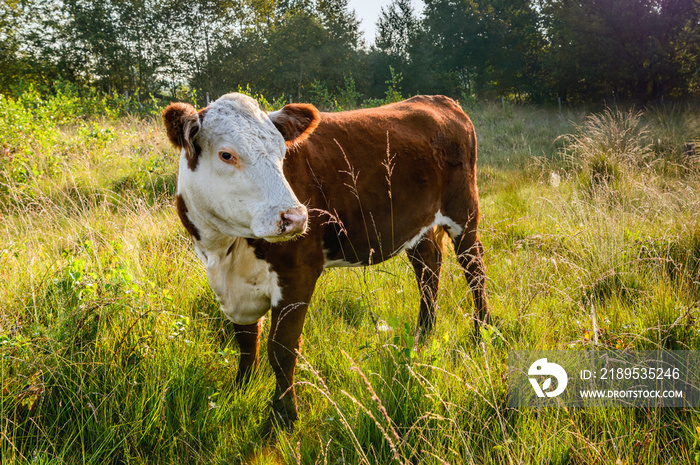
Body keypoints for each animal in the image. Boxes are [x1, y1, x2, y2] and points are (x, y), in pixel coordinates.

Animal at [162, 93, 490, 428]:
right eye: (226, 155)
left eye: (282, 153)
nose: (295, 217)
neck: (224, 252)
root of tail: (438, 100)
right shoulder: (231, 289)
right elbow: (245, 341)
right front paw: (242, 386)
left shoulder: (298, 272)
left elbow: (282, 348)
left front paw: (284, 416)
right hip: (418, 225)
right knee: (428, 270)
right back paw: (423, 335)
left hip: (464, 211)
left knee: (474, 269)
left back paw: (481, 333)